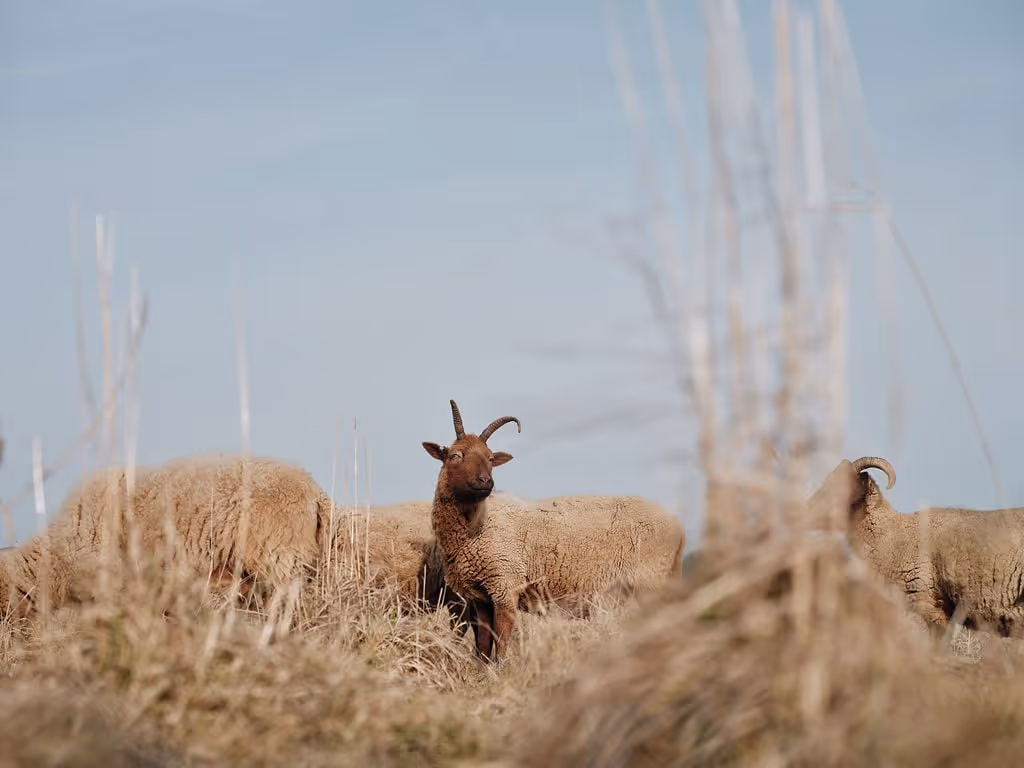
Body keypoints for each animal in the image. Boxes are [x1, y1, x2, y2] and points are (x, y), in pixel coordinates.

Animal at [423, 399, 686, 664]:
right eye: (455, 455)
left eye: (490, 458)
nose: (485, 482)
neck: (477, 526)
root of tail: (677, 526)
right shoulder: (481, 595)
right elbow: (484, 643)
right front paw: (484, 669)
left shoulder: (506, 584)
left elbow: (503, 640)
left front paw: (502, 668)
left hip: (650, 580)